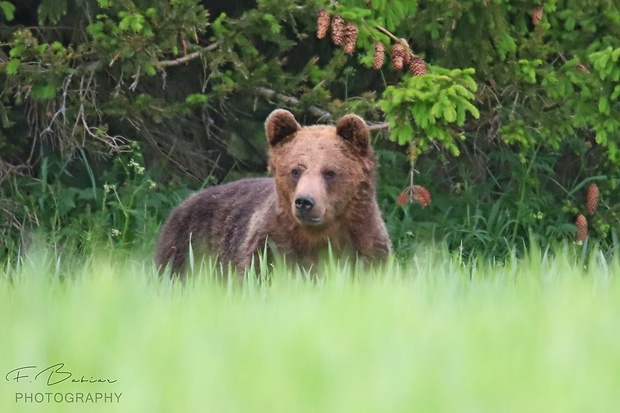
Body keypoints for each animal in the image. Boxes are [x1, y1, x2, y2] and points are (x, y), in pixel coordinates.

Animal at [154, 109, 388, 276]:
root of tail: (183, 203)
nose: (305, 202)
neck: (320, 234)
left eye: (330, 172)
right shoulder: (271, 245)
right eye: (295, 170)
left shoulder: (368, 244)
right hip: (188, 247)